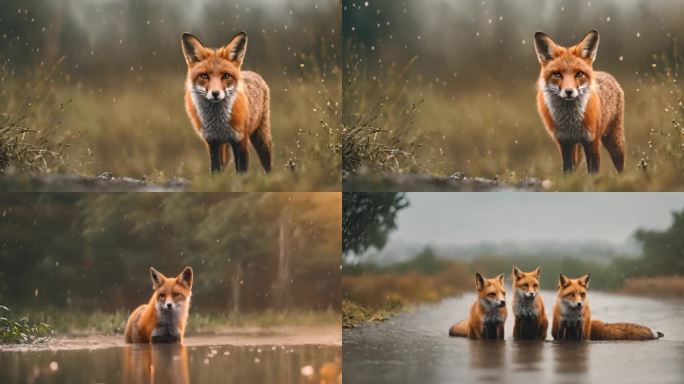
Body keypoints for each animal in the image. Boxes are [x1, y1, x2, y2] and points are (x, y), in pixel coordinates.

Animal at [182, 32, 272, 175]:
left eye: (226, 76)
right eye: (204, 76)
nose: (215, 93)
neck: (218, 122)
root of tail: (251, 72)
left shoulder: (240, 140)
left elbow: (241, 171)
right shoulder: (213, 142)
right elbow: (215, 170)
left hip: (261, 137)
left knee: (267, 163)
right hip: (224, 148)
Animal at [536, 29, 624, 173]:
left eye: (579, 74)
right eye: (557, 74)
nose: (569, 91)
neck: (571, 122)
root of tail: (605, 73)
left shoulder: (592, 141)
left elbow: (593, 171)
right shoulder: (564, 142)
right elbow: (567, 170)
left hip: (614, 140)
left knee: (620, 166)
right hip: (577, 148)